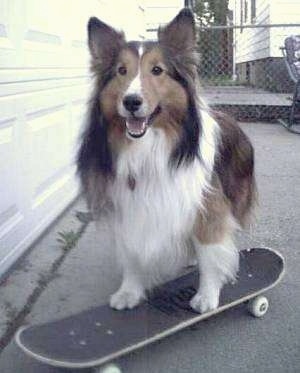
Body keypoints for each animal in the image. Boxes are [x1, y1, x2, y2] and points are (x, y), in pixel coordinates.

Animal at [77, 7, 255, 312]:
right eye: (121, 71)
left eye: (157, 70)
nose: (131, 102)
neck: (148, 147)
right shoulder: (128, 204)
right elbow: (133, 251)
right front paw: (129, 291)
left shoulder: (207, 206)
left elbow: (210, 252)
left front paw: (207, 295)